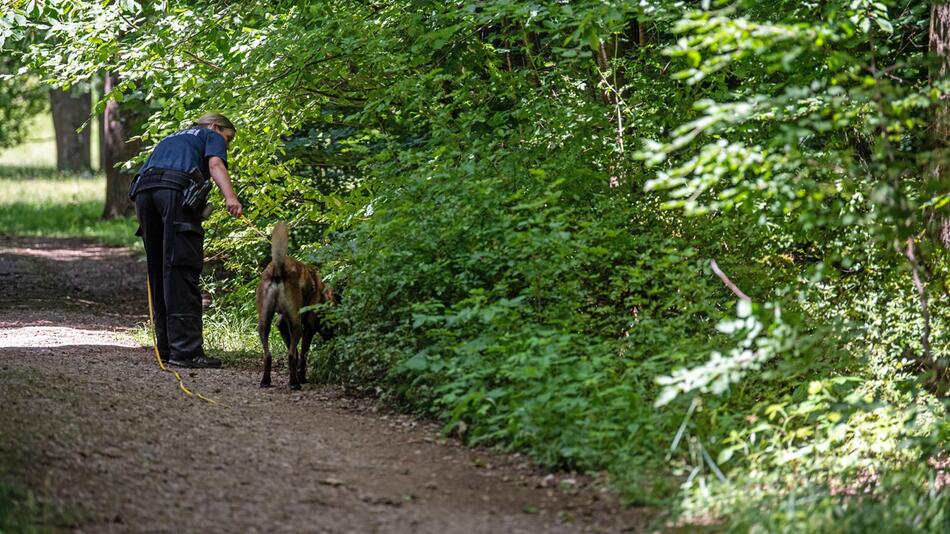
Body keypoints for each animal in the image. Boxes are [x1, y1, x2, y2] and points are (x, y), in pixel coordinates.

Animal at [256, 222, 338, 390]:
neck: (323, 296)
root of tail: (278, 268)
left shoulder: (282, 324)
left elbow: (294, 349)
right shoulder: (309, 327)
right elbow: (303, 354)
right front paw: (302, 377)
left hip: (264, 322)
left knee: (268, 355)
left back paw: (266, 380)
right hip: (297, 325)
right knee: (291, 355)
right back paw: (294, 383)